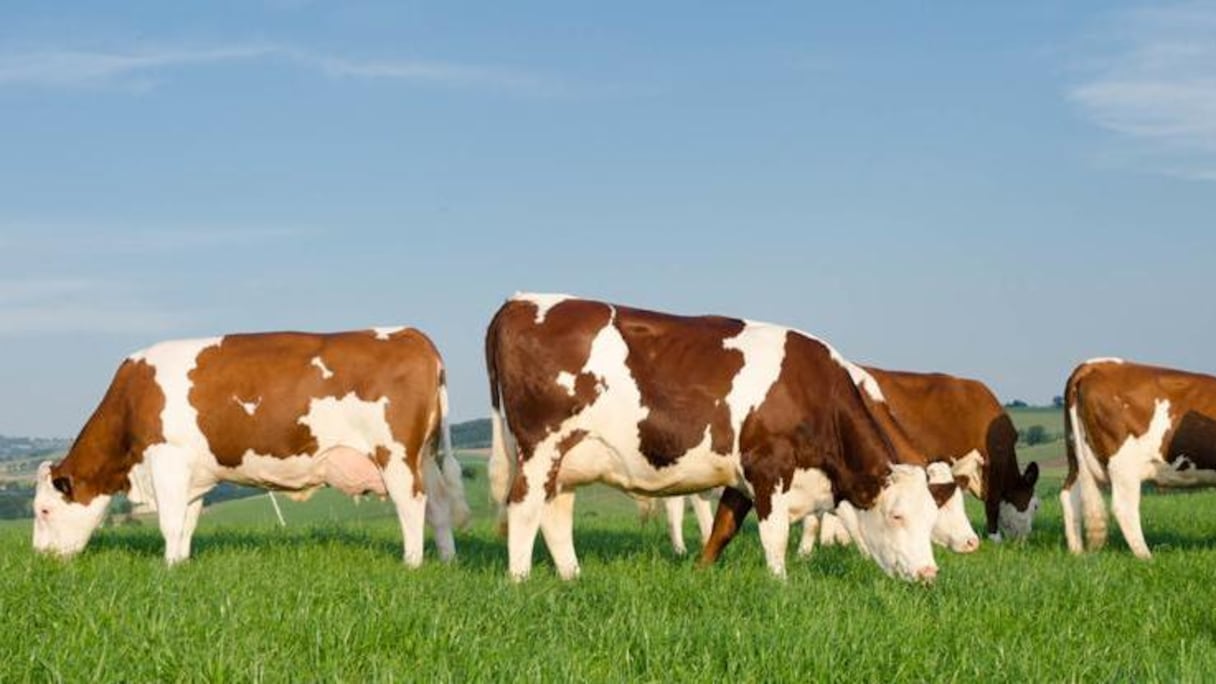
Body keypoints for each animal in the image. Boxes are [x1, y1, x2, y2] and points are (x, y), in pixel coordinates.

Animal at [33, 328, 470, 566]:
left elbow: (170, 521)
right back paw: (447, 560)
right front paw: (180, 564)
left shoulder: (167, 459)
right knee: (438, 505)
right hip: (424, 455)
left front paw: (165, 566)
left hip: (395, 455)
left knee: (411, 504)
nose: (41, 559)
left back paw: (412, 563)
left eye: (43, 510)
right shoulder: (194, 471)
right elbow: (188, 521)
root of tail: (412, 335)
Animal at [486, 293, 940, 583]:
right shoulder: (768, 466)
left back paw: (572, 577)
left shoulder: (740, 476)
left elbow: (722, 529)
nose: (929, 573)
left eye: (930, 517)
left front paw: (700, 573)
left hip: (569, 459)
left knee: (556, 513)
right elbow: (774, 536)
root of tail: (519, 300)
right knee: (524, 508)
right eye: (897, 516)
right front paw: (781, 585)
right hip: (541, 447)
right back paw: (520, 579)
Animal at [1061, 358, 1216, 558]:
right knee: (1124, 507)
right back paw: (1146, 557)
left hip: (1075, 453)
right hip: (1124, 464)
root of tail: (1093, 364)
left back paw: (1077, 552)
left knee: (1069, 495)